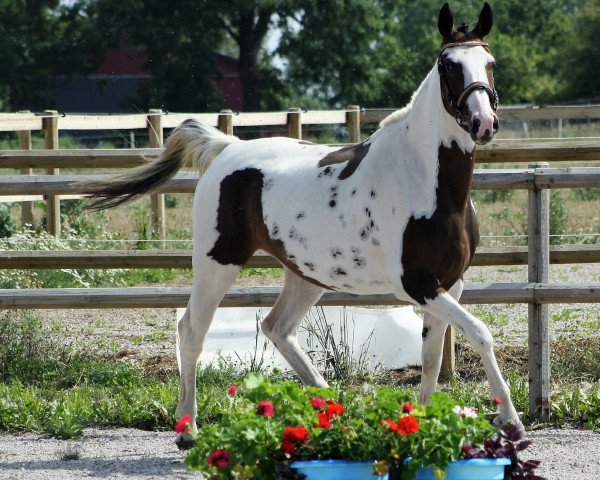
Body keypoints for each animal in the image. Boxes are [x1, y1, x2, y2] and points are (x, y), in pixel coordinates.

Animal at [84, 1, 520, 448]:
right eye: (448, 64)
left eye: (490, 63)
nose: (483, 123)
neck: (425, 180)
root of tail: (228, 148)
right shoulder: (416, 284)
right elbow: (480, 333)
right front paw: (510, 419)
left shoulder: (449, 284)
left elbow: (432, 358)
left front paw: (421, 423)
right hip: (216, 264)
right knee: (192, 331)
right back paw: (188, 430)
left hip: (306, 275)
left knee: (277, 327)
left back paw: (331, 408)